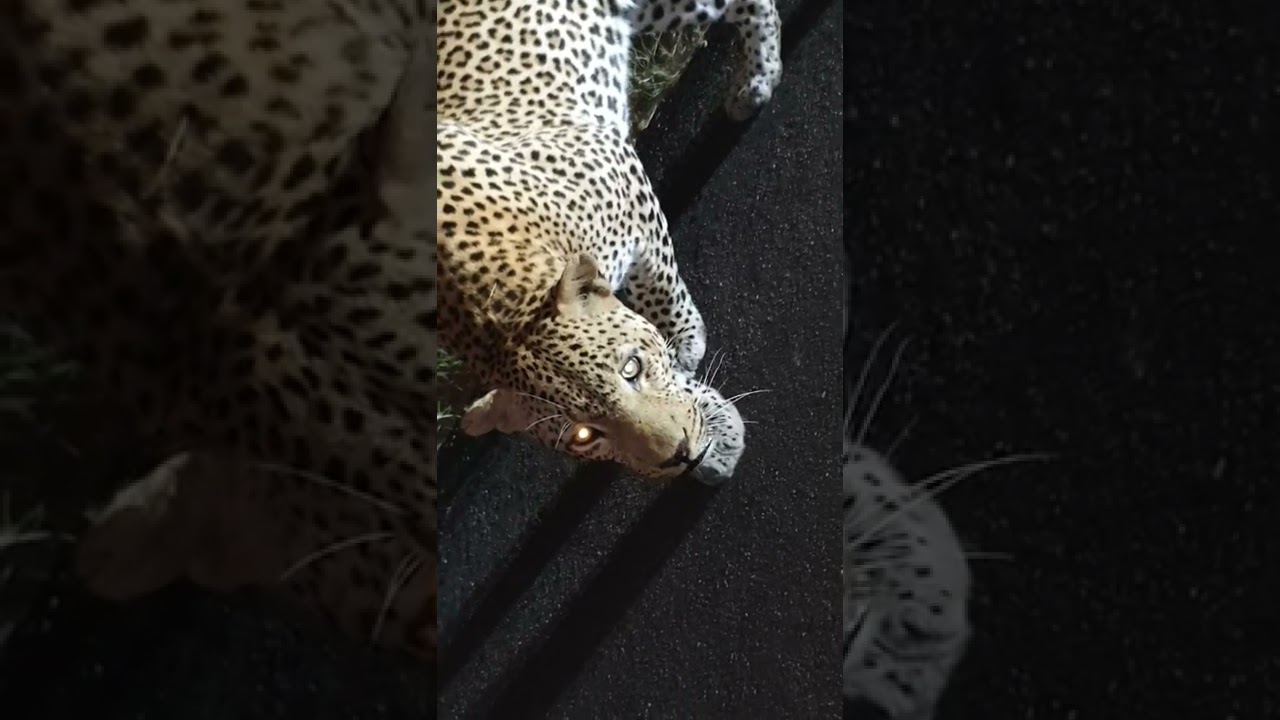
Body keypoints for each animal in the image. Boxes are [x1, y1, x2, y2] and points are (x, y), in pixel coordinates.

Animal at [436, 0, 783, 486]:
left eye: (630, 368)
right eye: (584, 435)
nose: (681, 457)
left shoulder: (623, 179)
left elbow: (661, 296)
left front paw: (686, 345)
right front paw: (714, 438)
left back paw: (755, 80)